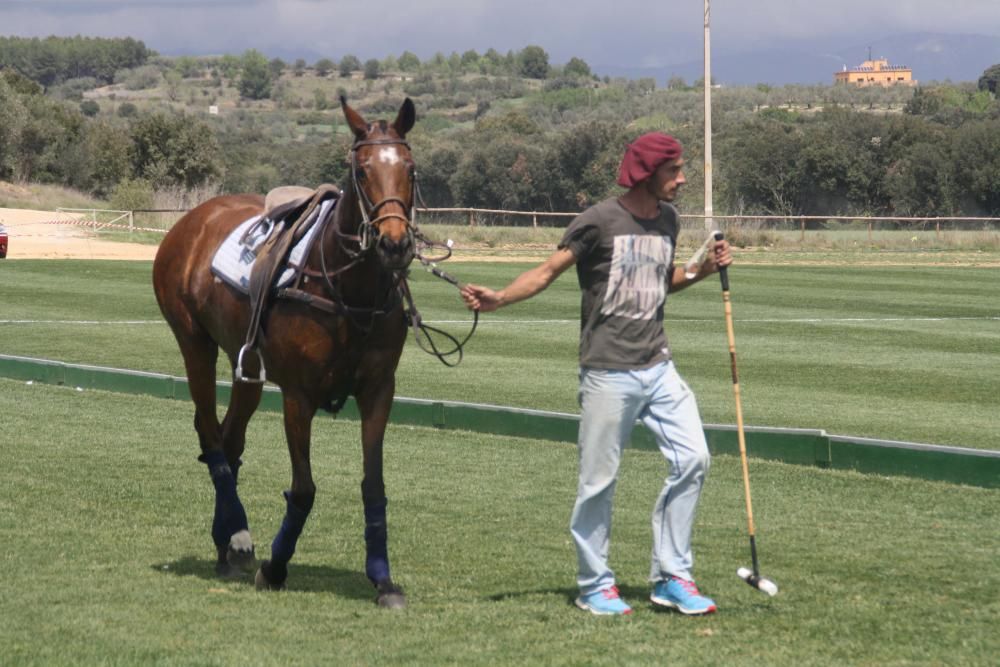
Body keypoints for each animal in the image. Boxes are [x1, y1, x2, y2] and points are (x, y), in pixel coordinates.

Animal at [154, 98, 420, 604]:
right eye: (361, 170)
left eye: (410, 168)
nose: (395, 244)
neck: (351, 292)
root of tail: (193, 217)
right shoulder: (299, 395)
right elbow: (303, 489)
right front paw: (275, 568)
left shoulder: (379, 390)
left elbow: (373, 485)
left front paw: (383, 579)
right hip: (193, 340)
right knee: (209, 432)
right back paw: (239, 536)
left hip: (247, 364)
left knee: (230, 438)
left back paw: (226, 544)